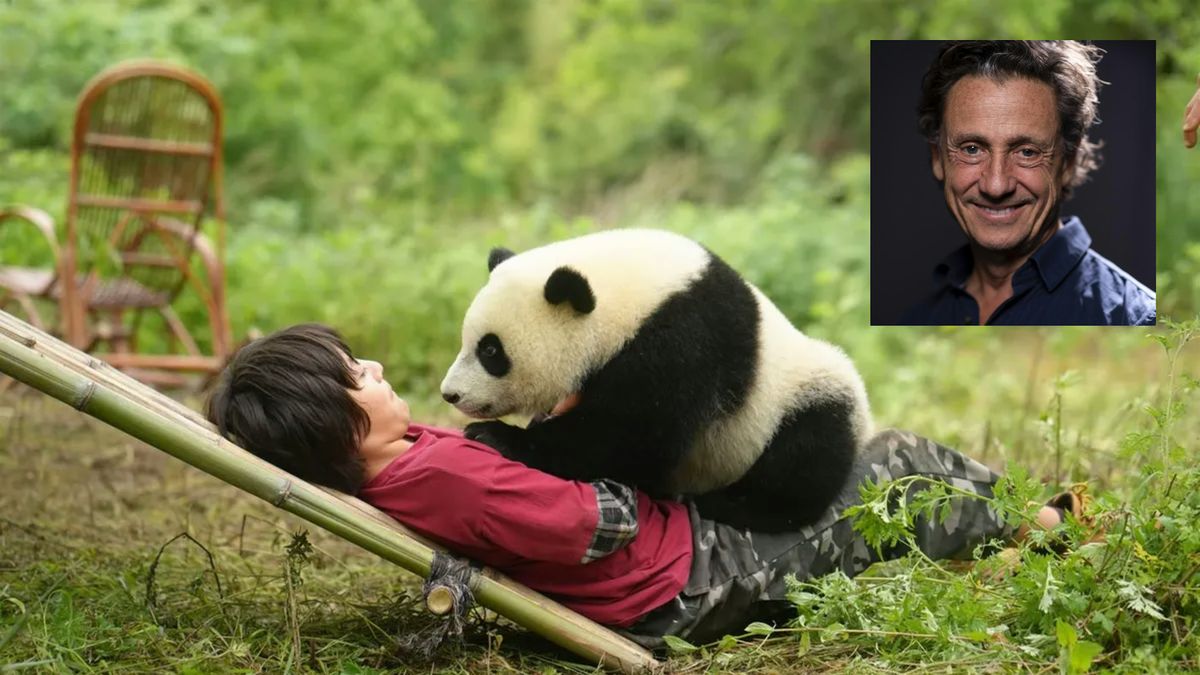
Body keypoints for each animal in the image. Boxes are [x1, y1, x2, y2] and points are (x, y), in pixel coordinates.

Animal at [440, 228, 872, 531]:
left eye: (491, 351)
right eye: (467, 340)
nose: (450, 394)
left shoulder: (683, 341)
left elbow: (628, 436)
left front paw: (497, 435)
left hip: (801, 397)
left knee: (805, 456)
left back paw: (731, 506)